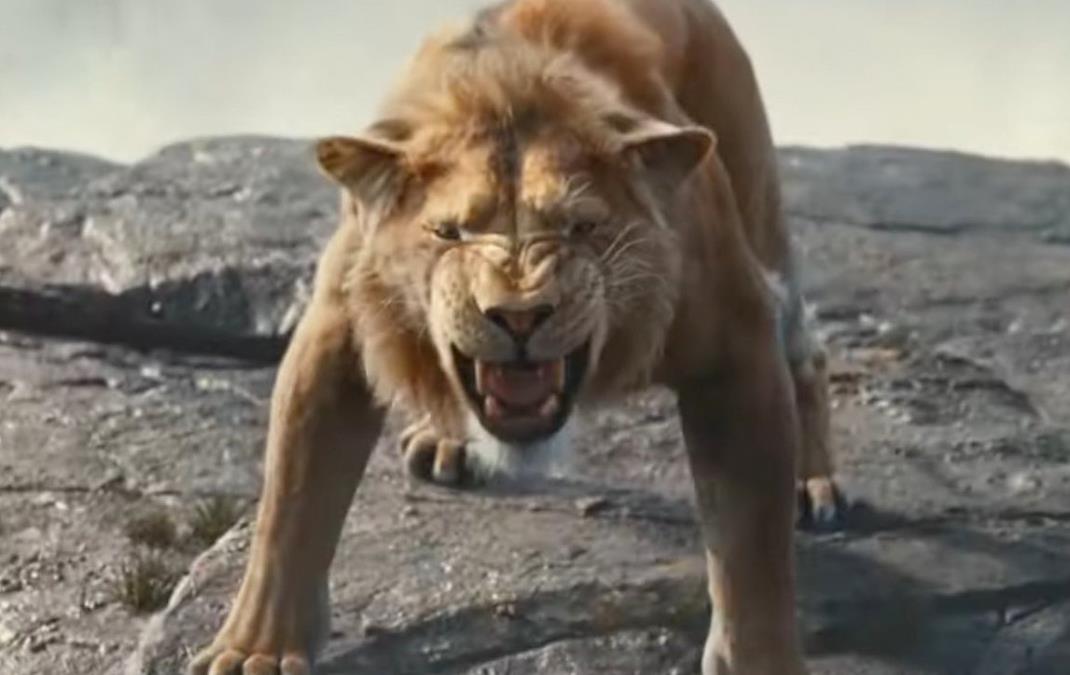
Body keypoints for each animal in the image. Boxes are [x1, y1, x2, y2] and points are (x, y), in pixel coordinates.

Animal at [190, 0, 843, 673]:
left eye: (580, 227)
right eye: (449, 232)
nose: (520, 314)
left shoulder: (736, 341)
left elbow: (752, 549)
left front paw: (758, 655)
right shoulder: (338, 328)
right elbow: (291, 506)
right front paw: (254, 650)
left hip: (758, 206)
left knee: (808, 352)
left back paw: (811, 484)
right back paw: (445, 443)